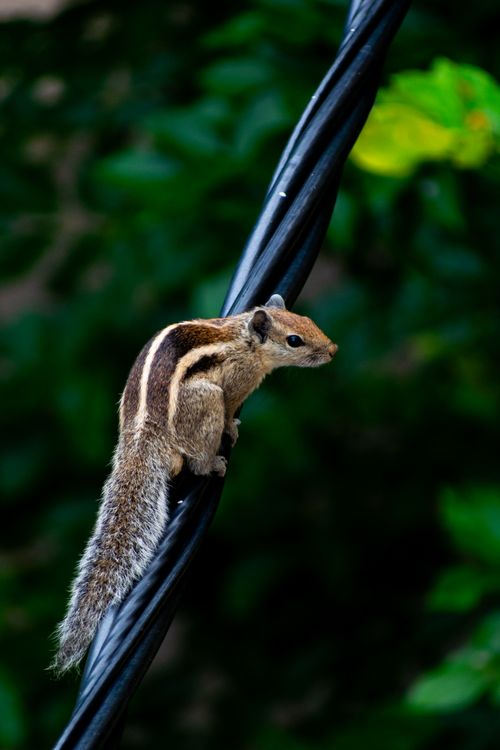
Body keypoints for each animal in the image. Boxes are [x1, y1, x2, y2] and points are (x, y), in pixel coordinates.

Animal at [52, 294, 337, 674]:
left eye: (306, 319)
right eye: (294, 340)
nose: (333, 349)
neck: (245, 340)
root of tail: (141, 438)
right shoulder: (236, 384)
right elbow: (232, 408)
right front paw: (233, 427)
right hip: (205, 402)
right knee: (198, 458)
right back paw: (214, 462)